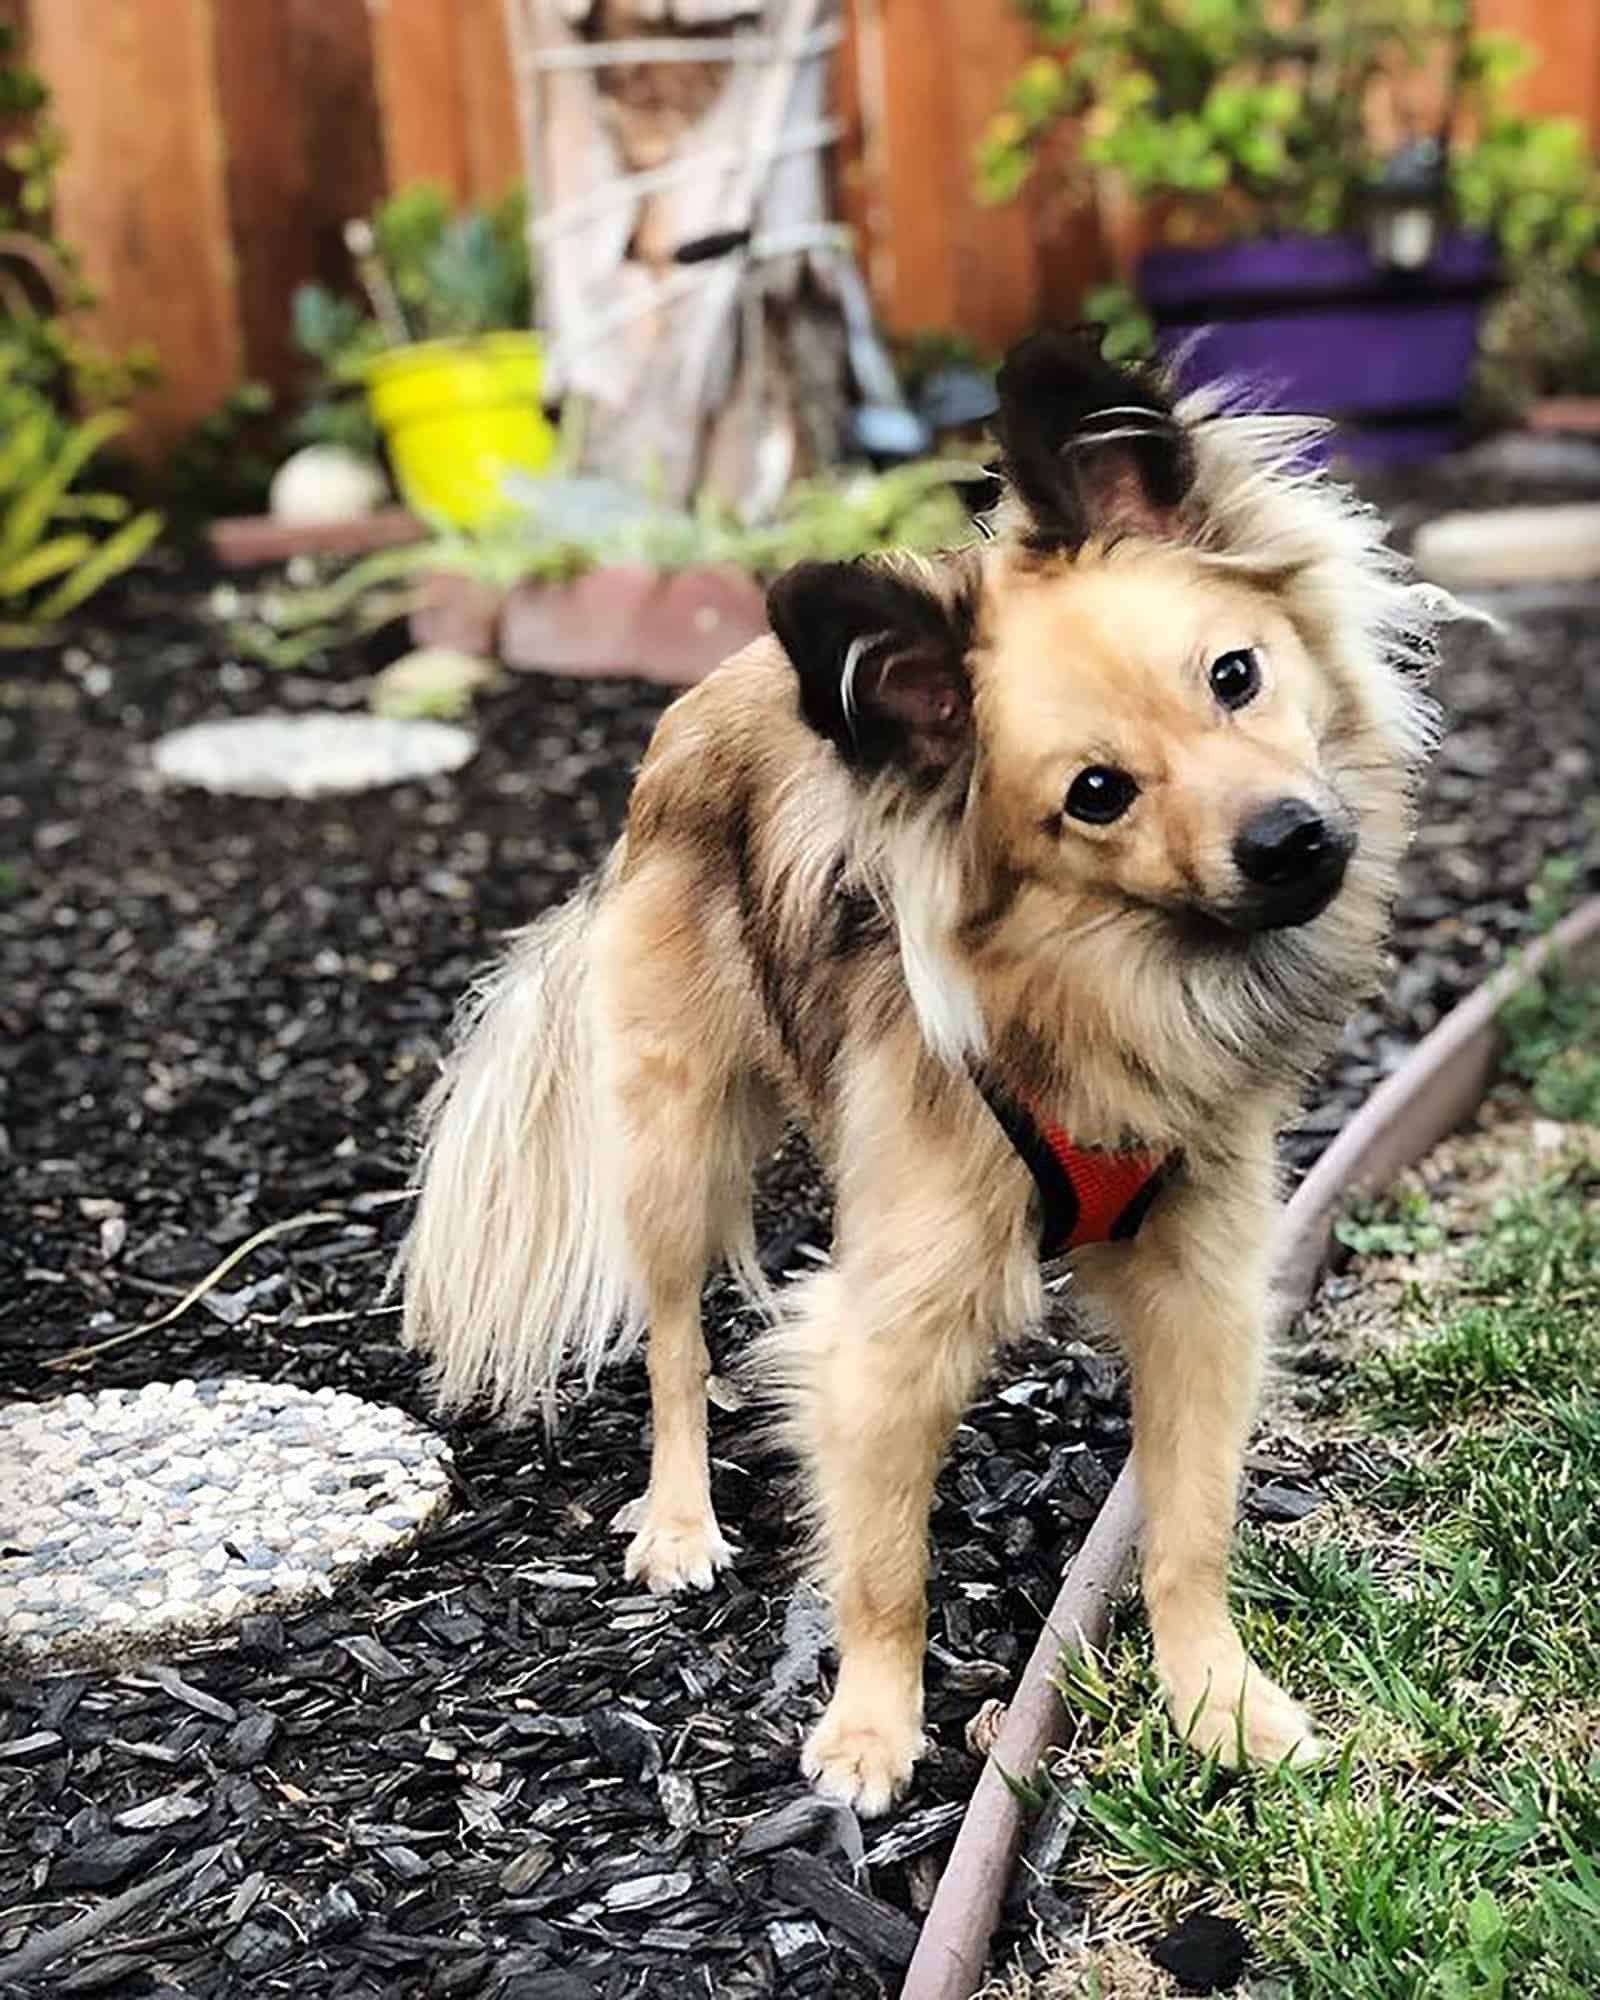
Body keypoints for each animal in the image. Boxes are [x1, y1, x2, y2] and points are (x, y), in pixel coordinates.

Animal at [396, 324, 1440, 1816]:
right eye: (1096, 795)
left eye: (1235, 676)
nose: (1292, 842)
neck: (1108, 992)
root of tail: (696, 710)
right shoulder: (891, 1328)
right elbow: (885, 1566)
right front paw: (868, 1734)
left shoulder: (1202, 1285)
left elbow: (1187, 1522)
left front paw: (1217, 1702)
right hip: (669, 1140)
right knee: (669, 1337)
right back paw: (679, 1516)